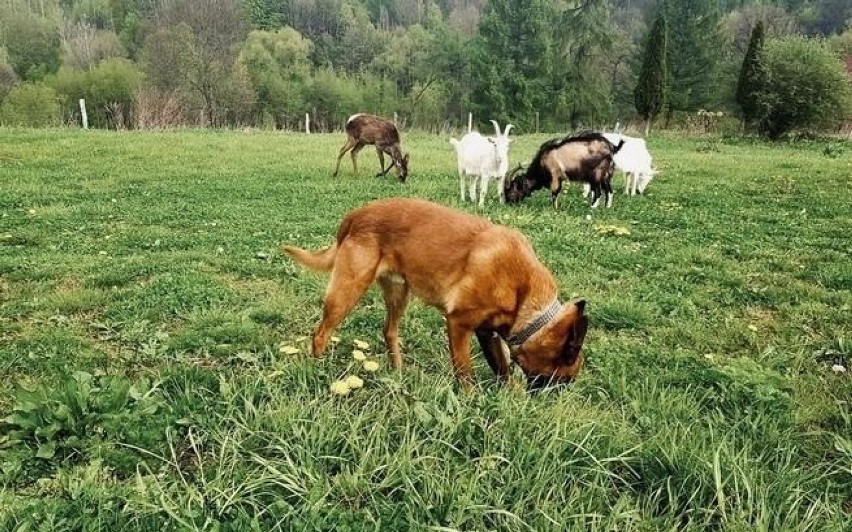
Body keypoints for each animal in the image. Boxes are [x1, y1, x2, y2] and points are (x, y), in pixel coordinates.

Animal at [282, 197, 588, 388]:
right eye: (563, 380)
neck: (522, 290)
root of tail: (354, 217)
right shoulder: (459, 324)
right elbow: (465, 375)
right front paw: (471, 405)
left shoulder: (487, 333)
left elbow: (503, 371)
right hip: (349, 289)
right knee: (321, 333)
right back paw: (318, 369)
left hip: (398, 293)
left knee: (389, 331)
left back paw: (399, 372)